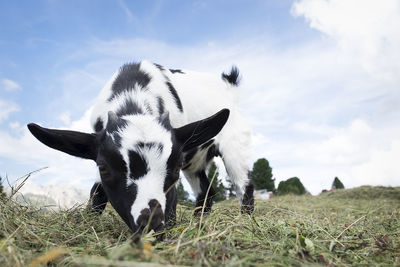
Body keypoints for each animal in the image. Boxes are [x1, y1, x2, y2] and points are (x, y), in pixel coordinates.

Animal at [28, 61, 255, 237]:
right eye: (104, 168)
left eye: (174, 167)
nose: (150, 224)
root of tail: (230, 89)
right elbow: (97, 195)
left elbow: (172, 204)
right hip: (195, 162)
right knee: (206, 191)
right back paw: (198, 223)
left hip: (235, 147)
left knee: (245, 185)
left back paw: (246, 223)